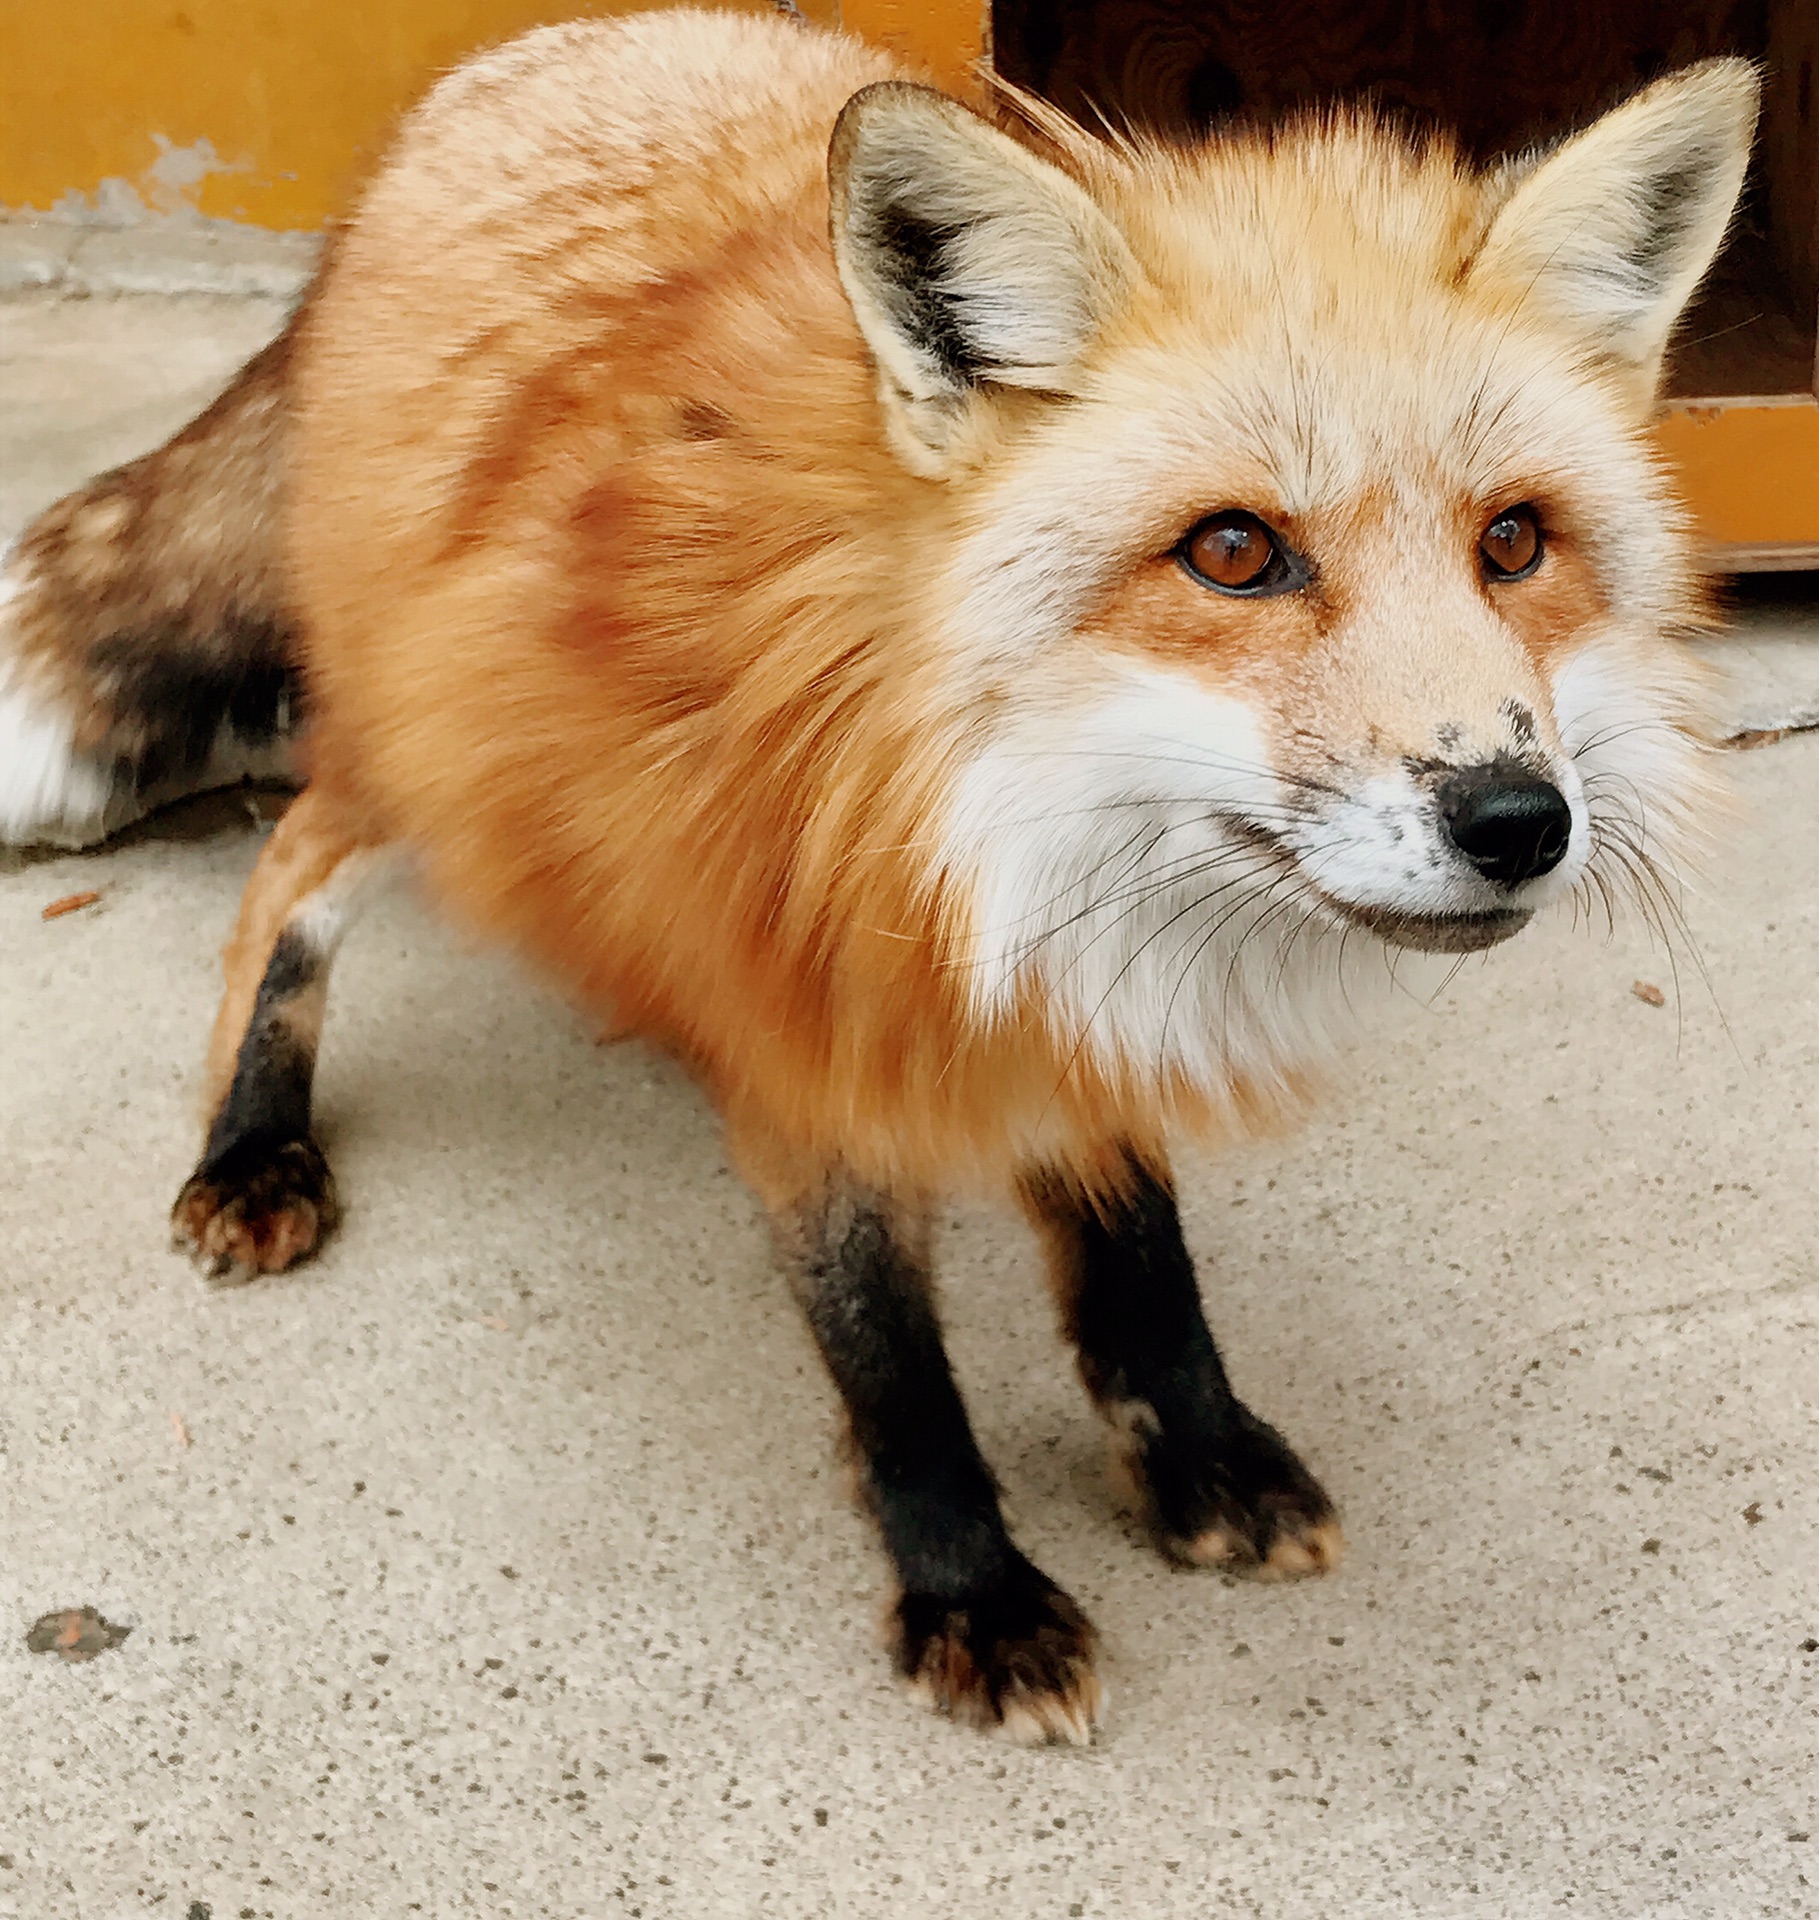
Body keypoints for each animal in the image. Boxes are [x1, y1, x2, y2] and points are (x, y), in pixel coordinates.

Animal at [3, 7, 1767, 1743]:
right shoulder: (810, 1017)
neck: (956, 804)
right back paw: (252, 1146)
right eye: (1231, 553)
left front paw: (1195, 1455)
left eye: (1512, 543)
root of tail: (540, 47)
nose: (1515, 820)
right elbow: (890, 1363)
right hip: (429, 753)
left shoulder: (1065, 953)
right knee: (285, 866)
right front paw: (969, 1595)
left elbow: (1139, 1254)